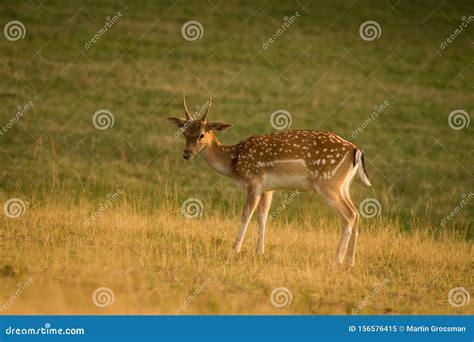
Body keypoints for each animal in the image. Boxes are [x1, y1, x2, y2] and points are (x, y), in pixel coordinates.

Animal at [168, 94, 372, 268]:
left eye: (201, 134)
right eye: (184, 133)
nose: (186, 154)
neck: (234, 161)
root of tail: (356, 150)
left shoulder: (254, 181)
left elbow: (246, 214)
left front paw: (234, 250)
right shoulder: (268, 188)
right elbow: (262, 216)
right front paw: (260, 252)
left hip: (329, 183)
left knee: (349, 215)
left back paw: (336, 261)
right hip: (343, 185)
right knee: (356, 213)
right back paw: (350, 262)